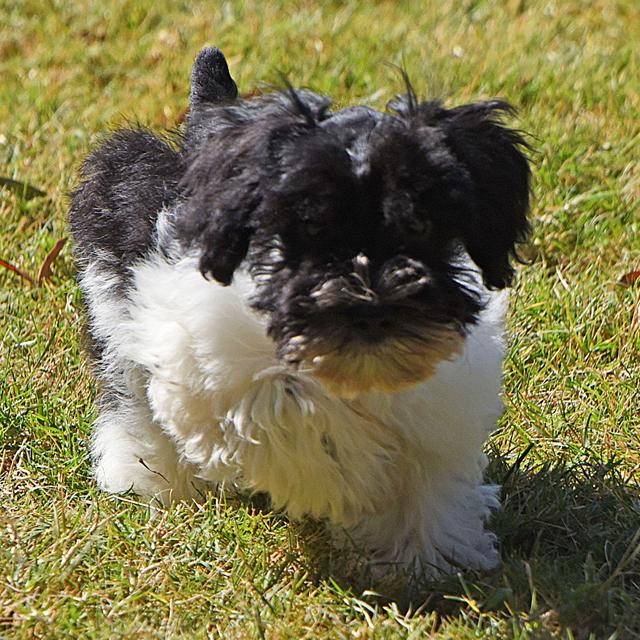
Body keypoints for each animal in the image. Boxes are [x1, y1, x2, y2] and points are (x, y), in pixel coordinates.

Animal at [69, 45, 528, 576]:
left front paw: (425, 555)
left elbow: (426, 467)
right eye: (308, 227)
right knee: (131, 400)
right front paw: (348, 487)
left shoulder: (445, 396)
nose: (371, 310)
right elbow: (287, 409)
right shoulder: (207, 360)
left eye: (419, 224)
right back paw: (148, 477)